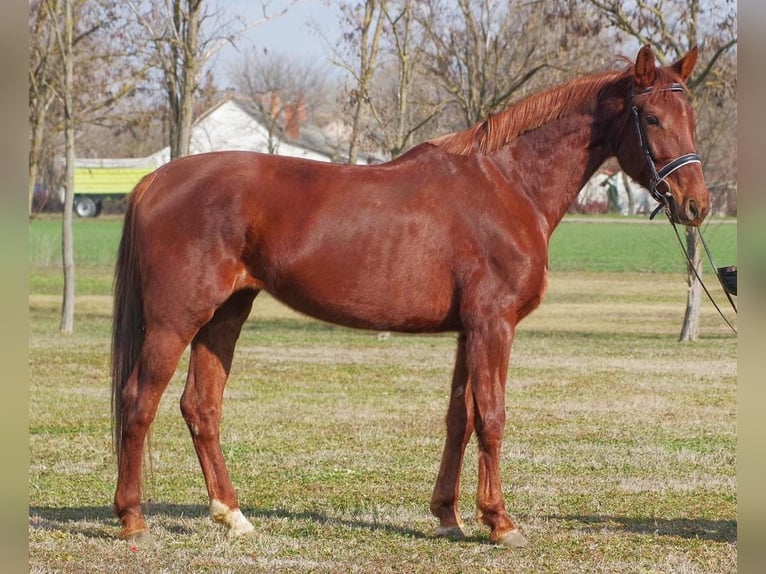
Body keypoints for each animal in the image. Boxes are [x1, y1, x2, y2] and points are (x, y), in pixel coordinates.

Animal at [111, 46, 712, 548]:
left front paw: (449, 516)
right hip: (176, 320)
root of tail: (156, 180)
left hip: (225, 315)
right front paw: (501, 523)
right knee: (139, 399)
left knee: (201, 406)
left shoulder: (469, 331)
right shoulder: (493, 325)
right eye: (651, 118)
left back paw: (231, 515)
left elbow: (459, 418)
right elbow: (492, 416)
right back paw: (133, 519)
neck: (507, 185)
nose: (697, 204)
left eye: (692, 116)